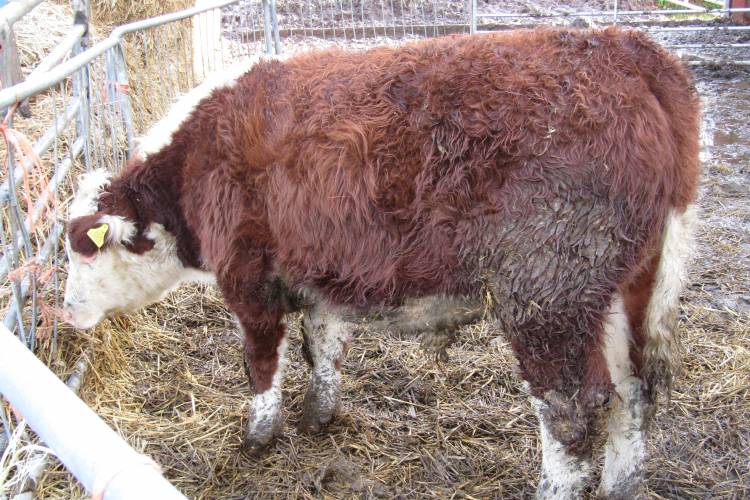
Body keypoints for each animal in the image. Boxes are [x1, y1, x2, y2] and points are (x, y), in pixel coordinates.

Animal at [62, 27, 700, 498]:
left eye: (82, 249)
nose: (66, 313)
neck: (198, 152)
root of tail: (628, 49)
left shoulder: (247, 276)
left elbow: (260, 361)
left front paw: (260, 434)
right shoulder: (319, 271)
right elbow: (321, 343)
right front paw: (319, 415)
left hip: (547, 299)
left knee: (572, 416)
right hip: (624, 292)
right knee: (632, 393)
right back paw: (621, 485)